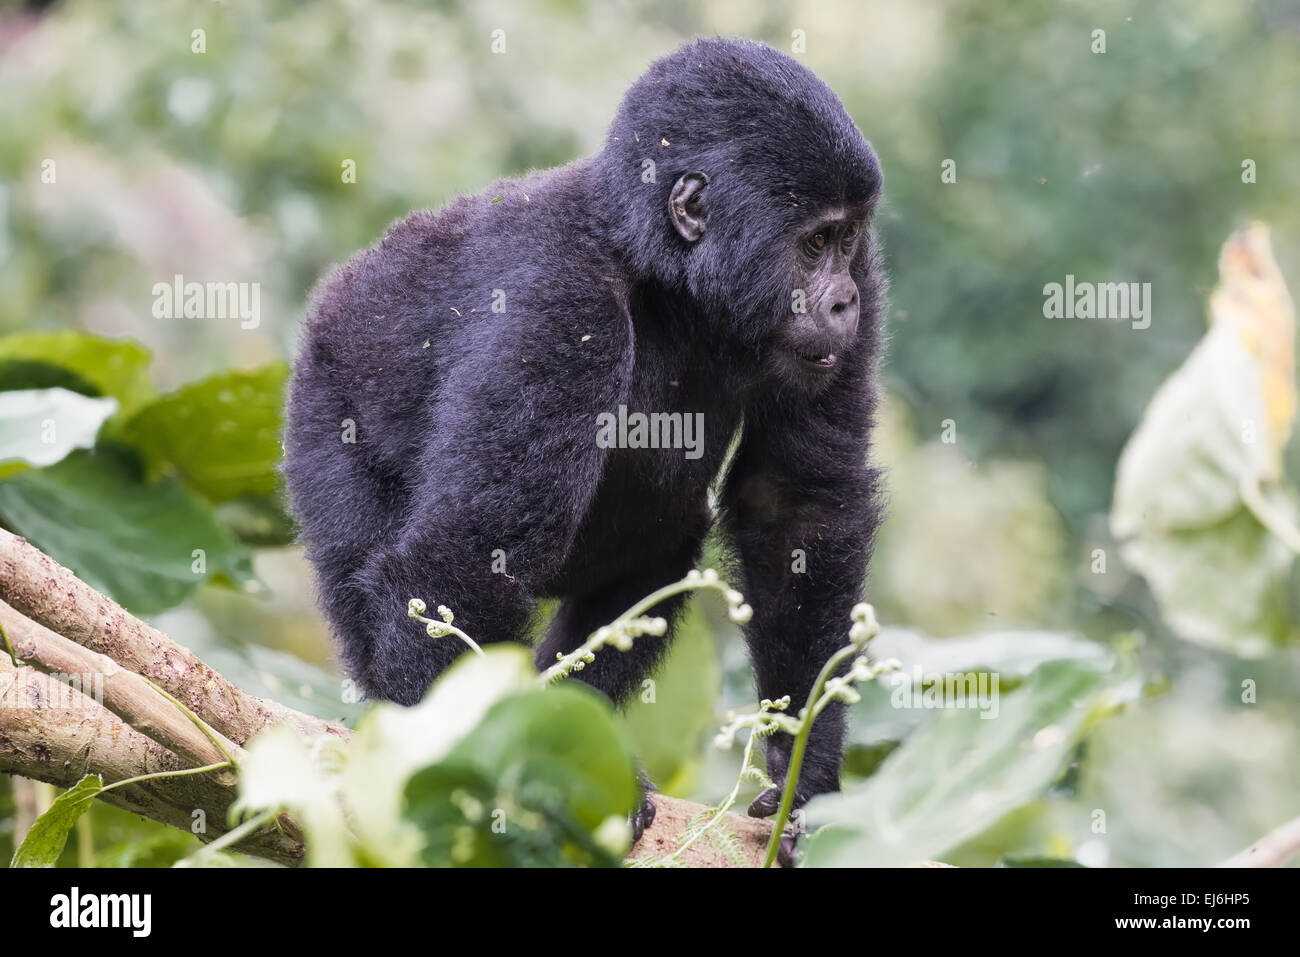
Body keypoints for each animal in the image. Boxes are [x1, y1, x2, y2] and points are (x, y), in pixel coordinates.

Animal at [283, 36, 885, 840]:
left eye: (847, 240)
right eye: (815, 243)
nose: (844, 300)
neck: (661, 267)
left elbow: (797, 509)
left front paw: (804, 771)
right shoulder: (558, 304)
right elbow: (463, 564)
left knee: (662, 541)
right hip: (323, 396)